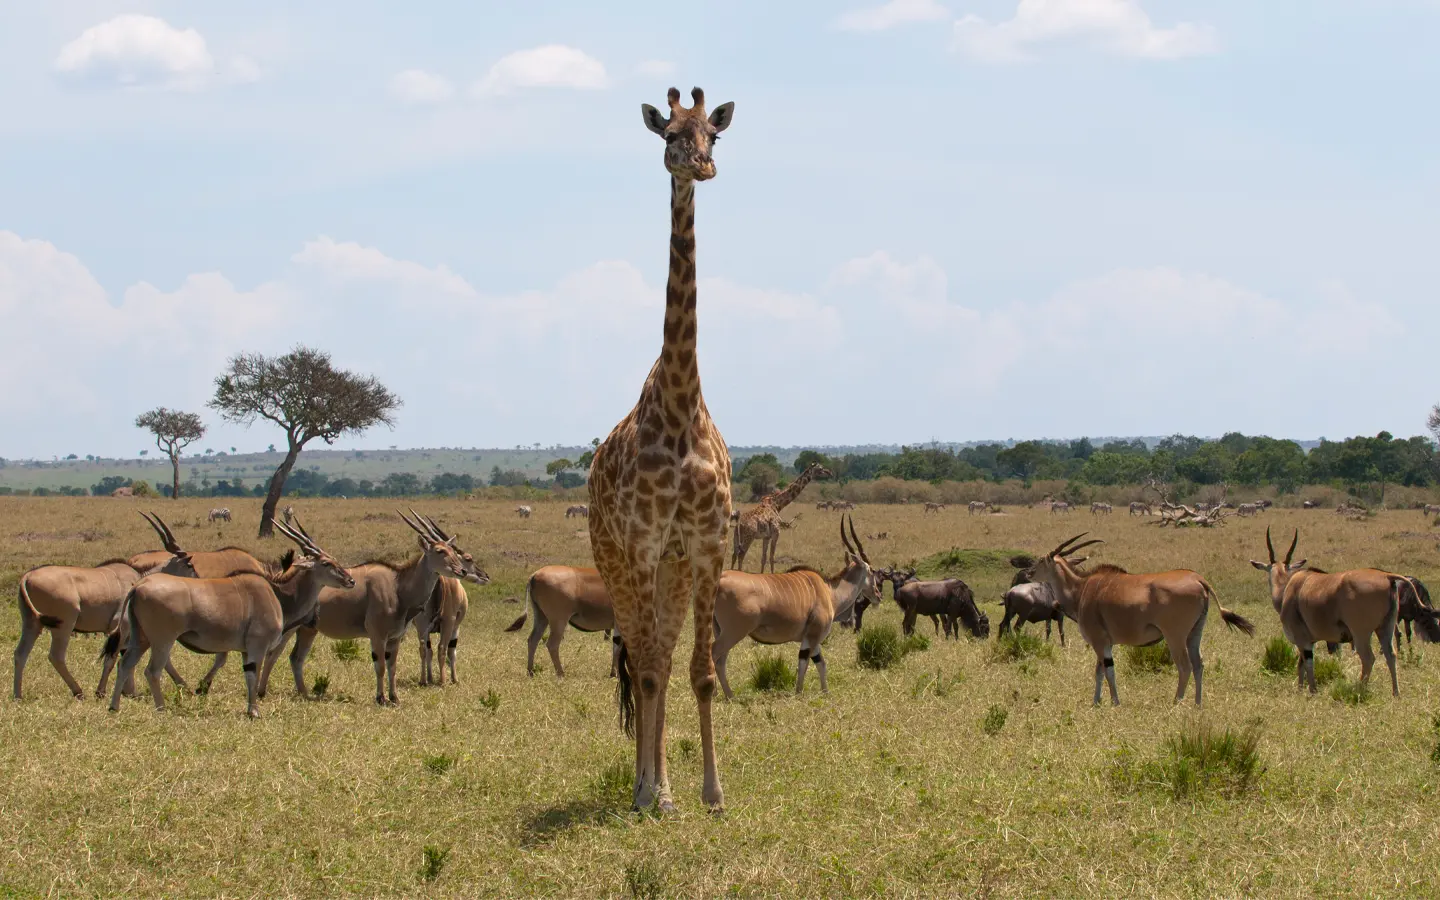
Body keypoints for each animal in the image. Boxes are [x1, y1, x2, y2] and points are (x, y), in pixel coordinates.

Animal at [107, 516, 353, 718]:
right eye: (326, 563)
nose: (350, 580)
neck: (277, 593)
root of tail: (138, 586)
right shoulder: (257, 646)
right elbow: (253, 674)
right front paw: (254, 711)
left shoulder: (246, 650)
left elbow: (247, 674)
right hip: (162, 641)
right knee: (152, 670)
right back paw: (161, 709)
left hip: (141, 639)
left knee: (125, 663)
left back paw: (114, 706)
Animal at [273, 511, 489, 705]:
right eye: (440, 551)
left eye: (453, 551)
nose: (461, 571)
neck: (397, 587)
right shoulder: (377, 635)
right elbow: (381, 666)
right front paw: (381, 698)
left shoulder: (395, 638)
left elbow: (392, 666)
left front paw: (395, 698)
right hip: (289, 629)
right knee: (276, 654)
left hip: (308, 630)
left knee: (296, 658)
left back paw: (303, 694)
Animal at [710, 515, 879, 699]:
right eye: (871, 570)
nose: (878, 595)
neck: (829, 590)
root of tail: (721, 579)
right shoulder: (813, 635)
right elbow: (804, 662)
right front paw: (799, 692)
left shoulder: (811, 638)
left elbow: (820, 663)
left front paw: (825, 692)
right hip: (734, 632)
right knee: (714, 653)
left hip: (722, 631)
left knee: (720, 660)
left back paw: (727, 695)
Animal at [1032, 532, 1255, 706]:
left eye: (1042, 560)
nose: (1029, 572)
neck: (1082, 588)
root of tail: (1198, 579)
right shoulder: (1104, 643)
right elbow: (1099, 671)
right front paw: (1096, 702)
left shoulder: (1099, 641)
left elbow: (1107, 670)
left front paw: (1114, 702)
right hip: (1194, 635)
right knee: (1198, 664)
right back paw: (1197, 704)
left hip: (1175, 637)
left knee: (1185, 666)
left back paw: (1176, 702)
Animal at [1251, 528, 1431, 696]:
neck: (1289, 588)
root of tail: (1387, 577)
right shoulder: (1308, 641)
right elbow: (1301, 664)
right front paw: (1301, 690)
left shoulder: (1303, 640)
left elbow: (1307, 663)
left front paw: (1311, 691)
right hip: (1385, 628)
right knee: (1391, 655)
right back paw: (1396, 693)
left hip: (1361, 633)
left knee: (1368, 658)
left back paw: (1360, 689)